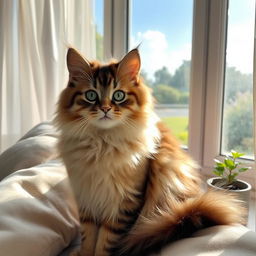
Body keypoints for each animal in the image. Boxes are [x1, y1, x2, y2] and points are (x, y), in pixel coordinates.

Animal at [54, 48, 246, 256]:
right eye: (91, 95)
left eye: (119, 96)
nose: (105, 109)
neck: (102, 144)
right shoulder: (86, 199)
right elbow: (88, 238)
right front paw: (82, 253)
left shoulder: (125, 202)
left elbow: (105, 242)